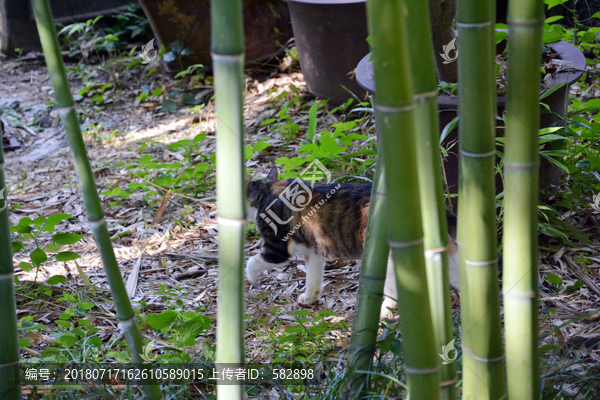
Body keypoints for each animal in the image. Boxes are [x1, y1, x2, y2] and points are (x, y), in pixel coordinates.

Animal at [245, 166, 460, 316]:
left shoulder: (276, 249)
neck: (266, 192)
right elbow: (313, 277)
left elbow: (252, 262)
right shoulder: (313, 251)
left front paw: (252, 279)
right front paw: (310, 298)